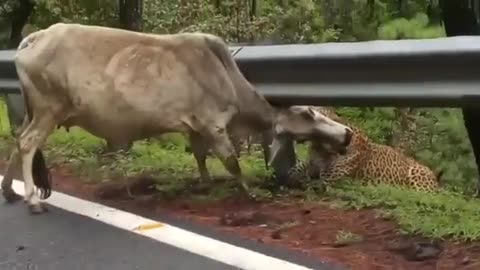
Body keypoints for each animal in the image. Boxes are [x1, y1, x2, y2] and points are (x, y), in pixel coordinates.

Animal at [0, 23, 352, 214]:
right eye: (308, 112)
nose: (347, 133)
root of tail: (33, 38)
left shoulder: (195, 128)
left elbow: (200, 158)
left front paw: (204, 184)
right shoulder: (213, 124)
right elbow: (233, 163)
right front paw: (249, 193)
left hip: (34, 112)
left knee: (18, 140)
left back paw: (9, 191)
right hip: (49, 109)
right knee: (28, 143)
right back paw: (32, 200)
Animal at [284, 105, 442, 192]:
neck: (322, 145)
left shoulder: (327, 180)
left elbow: (305, 182)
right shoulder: (310, 164)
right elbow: (296, 169)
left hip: (418, 173)